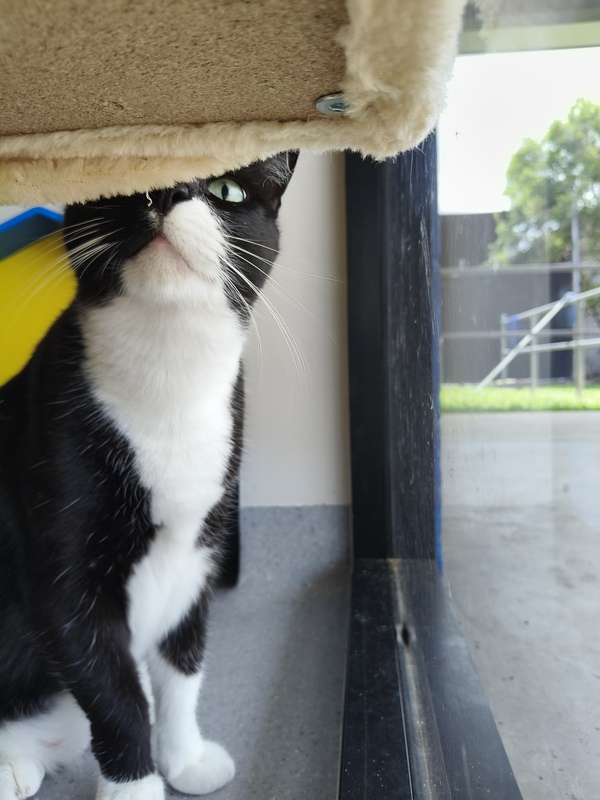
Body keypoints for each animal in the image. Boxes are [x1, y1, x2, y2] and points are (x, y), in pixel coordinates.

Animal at [0, 151, 298, 800]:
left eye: (226, 189)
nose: (167, 191)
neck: (167, 381)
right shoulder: (63, 581)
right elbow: (116, 694)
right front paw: (135, 786)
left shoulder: (197, 553)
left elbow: (182, 667)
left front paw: (184, 758)